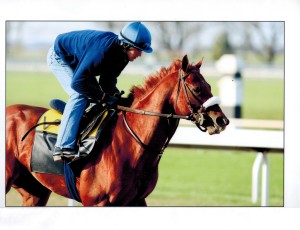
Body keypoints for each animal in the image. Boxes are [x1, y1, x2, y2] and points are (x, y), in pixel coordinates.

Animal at [5, 54, 230, 206]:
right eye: (198, 88)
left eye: (210, 86)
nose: (222, 120)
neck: (133, 146)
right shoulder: (96, 202)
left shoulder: (137, 201)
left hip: (35, 191)